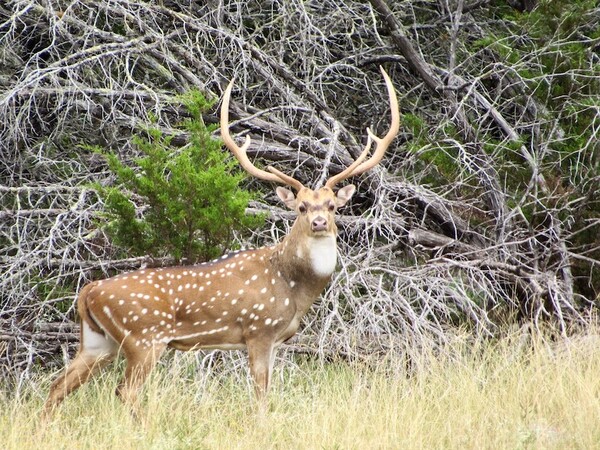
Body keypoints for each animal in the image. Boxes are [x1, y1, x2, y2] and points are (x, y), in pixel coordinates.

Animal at [44, 67, 400, 414]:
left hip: (98, 342)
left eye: (331, 205)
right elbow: (260, 394)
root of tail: (88, 292)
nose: (319, 222)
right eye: (301, 206)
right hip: (143, 337)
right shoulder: (259, 328)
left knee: (57, 386)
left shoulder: (276, 339)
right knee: (124, 390)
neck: (293, 287)